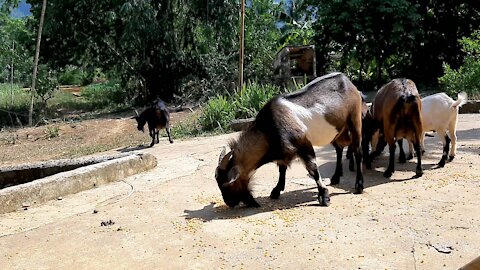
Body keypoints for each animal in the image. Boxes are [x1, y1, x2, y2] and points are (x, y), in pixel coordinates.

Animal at [215, 71, 364, 207]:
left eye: (227, 184)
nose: (229, 203)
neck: (267, 130)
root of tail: (347, 80)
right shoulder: (283, 151)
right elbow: (282, 169)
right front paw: (276, 190)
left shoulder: (303, 143)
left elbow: (313, 169)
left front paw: (324, 196)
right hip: (338, 131)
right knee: (339, 149)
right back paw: (335, 177)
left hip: (355, 120)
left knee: (357, 151)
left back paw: (359, 185)